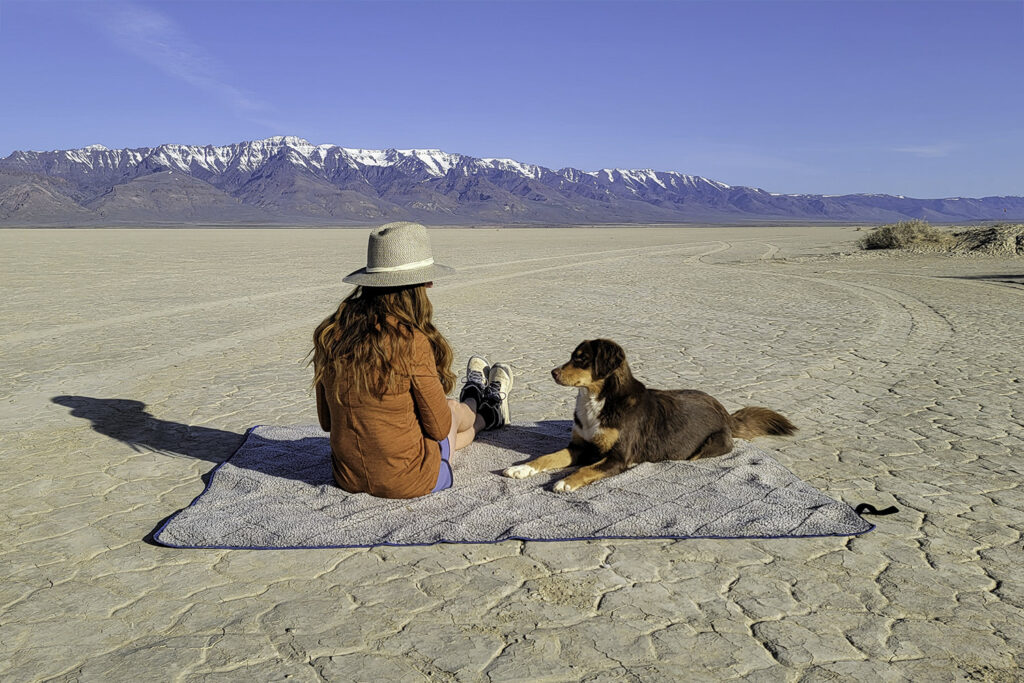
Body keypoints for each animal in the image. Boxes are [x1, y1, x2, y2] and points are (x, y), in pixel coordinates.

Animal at [503, 339, 798, 491]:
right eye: (572, 356)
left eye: (581, 358)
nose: (552, 372)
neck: (599, 400)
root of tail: (725, 412)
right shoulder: (579, 446)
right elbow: (546, 457)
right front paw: (521, 468)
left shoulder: (618, 458)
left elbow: (587, 469)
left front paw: (565, 481)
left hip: (708, 447)